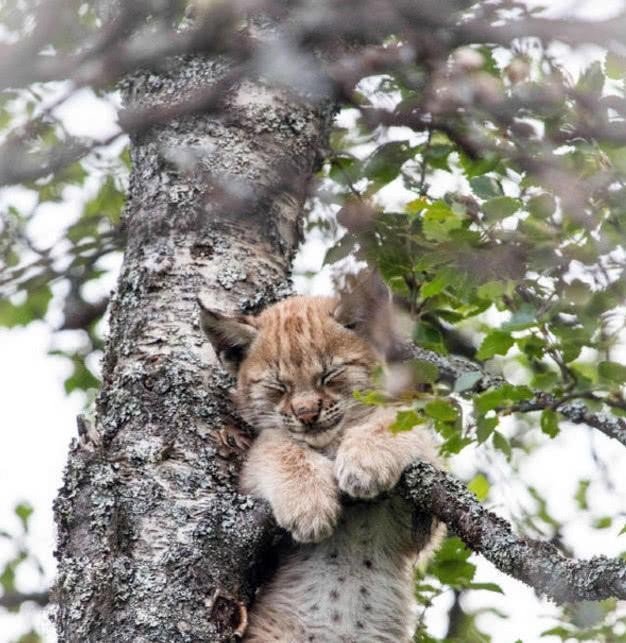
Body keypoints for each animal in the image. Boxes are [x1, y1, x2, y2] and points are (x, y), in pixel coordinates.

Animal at [199, 278, 438, 643]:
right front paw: (308, 505)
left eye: (329, 375)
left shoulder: (419, 528)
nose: (307, 414)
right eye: (278, 386)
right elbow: (277, 444)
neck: (330, 441)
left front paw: (366, 461)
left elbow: (397, 421)